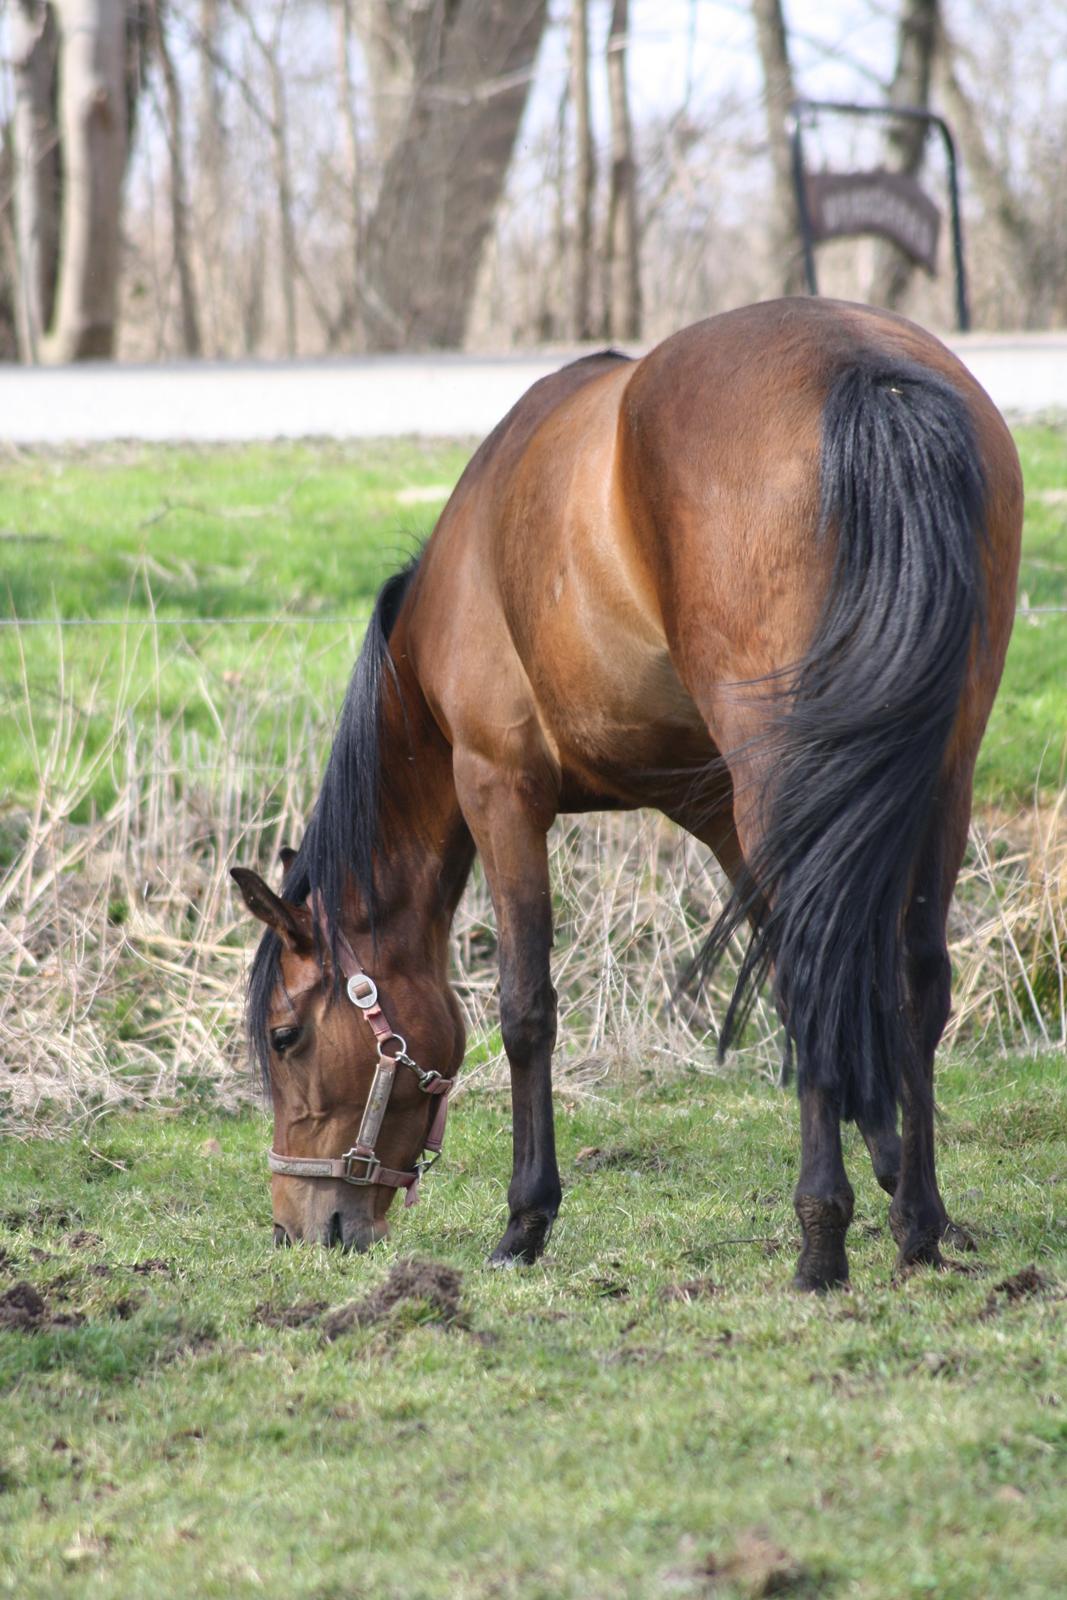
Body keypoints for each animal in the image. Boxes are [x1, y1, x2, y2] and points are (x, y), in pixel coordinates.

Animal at [235, 300, 1023, 1292]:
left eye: (285, 1036)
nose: (302, 1227)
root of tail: (867, 371)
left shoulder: (499, 788)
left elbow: (525, 1008)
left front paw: (525, 1222)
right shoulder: (721, 815)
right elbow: (822, 982)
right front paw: (891, 1170)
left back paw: (818, 1246)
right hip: (938, 770)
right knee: (911, 973)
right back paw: (917, 1224)